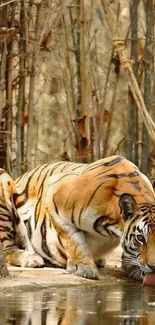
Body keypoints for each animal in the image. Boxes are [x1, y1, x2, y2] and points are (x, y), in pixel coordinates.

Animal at [8, 154, 155, 278]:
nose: (153, 267)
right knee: (7, 248)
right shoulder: (54, 190)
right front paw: (83, 267)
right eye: (140, 238)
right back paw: (30, 258)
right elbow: (71, 239)